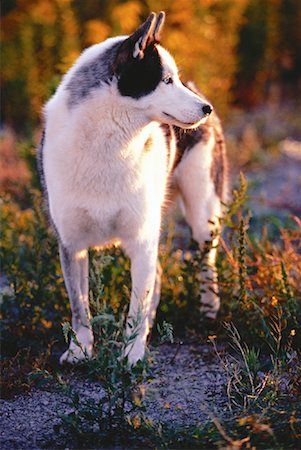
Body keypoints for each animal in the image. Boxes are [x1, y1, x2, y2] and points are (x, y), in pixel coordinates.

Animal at [38, 11, 225, 366]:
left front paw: (132, 353)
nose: (206, 108)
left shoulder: (141, 240)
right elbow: (79, 307)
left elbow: (136, 307)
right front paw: (81, 349)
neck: (108, 143)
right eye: (166, 80)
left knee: (207, 263)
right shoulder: (72, 244)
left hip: (202, 216)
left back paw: (209, 311)